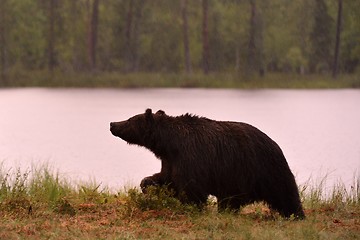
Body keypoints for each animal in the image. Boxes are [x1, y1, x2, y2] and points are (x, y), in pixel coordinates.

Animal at [109, 109, 304, 218]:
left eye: (129, 119)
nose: (112, 123)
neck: (169, 144)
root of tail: (275, 144)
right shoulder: (171, 160)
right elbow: (167, 178)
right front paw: (146, 184)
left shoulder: (191, 156)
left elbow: (191, 188)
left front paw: (190, 206)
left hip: (260, 168)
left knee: (285, 193)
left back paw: (296, 214)